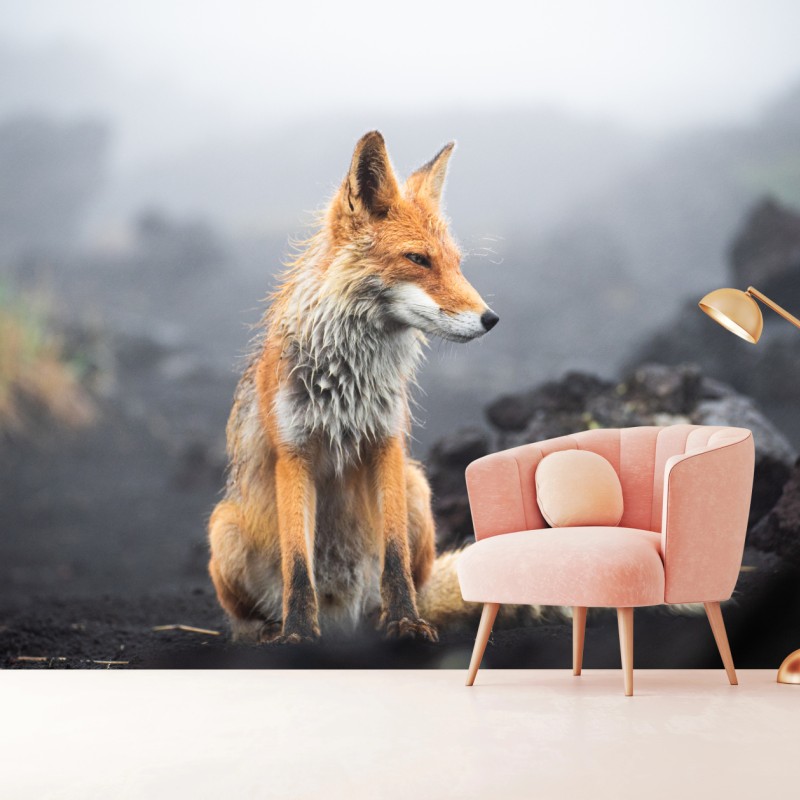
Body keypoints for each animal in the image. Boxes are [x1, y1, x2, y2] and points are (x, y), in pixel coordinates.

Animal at [208, 131, 499, 643]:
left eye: (456, 263)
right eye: (418, 259)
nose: (491, 318)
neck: (348, 383)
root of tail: (343, 614)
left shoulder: (386, 442)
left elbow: (394, 558)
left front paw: (405, 622)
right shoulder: (294, 453)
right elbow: (297, 564)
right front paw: (298, 634)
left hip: (417, 488)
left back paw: (382, 620)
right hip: (223, 528)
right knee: (249, 614)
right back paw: (267, 630)